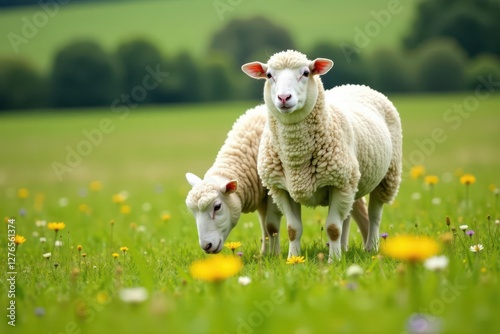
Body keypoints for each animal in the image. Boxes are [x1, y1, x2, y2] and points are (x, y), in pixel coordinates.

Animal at [186, 105, 284, 254]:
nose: (206, 246)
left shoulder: (273, 191)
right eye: (193, 212)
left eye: (217, 207)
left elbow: (271, 225)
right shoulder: (261, 196)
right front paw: (265, 254)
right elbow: (264, 226)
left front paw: (275, 255)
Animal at [242, 50, 402, 264]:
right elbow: (293, 229)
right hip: (353, 182)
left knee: (374, 215)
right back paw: (345, 248)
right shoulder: (281, 189)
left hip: (386, 176)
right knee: (348, 216)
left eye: (306, 73)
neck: (296, 156)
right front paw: (293, 259)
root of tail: (355, 85)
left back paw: (371, 247)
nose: (284, 98)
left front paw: (333, 262)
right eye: (269, 75)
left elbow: (333, 228)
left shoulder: (339, 184)